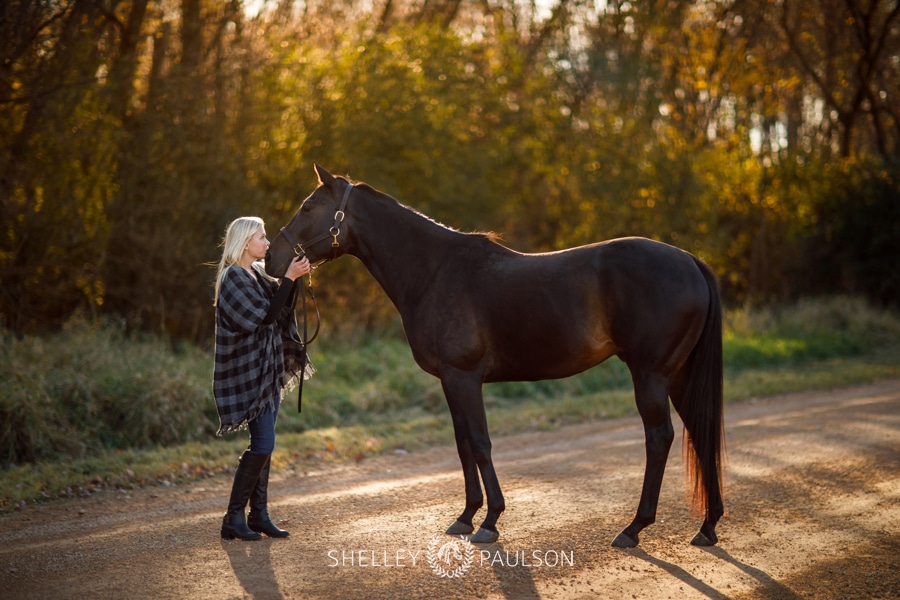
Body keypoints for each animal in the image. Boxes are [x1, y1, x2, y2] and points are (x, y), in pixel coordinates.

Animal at [266, 165, 724, 548]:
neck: (434, 272)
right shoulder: (450, 381)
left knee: (659, 437)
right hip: (676, 376)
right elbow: (462, 443)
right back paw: (707, 527)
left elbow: (480, 443)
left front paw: (489, 521)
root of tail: (692, 261)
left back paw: (634, 528)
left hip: (649, 375)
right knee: (699, 431)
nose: (272, 258)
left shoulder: (464, 377)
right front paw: (466, 516)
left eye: (308, 207)